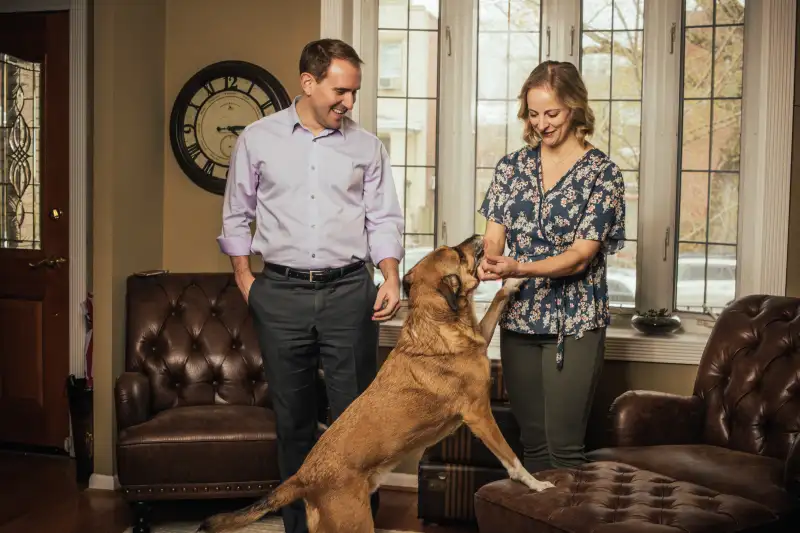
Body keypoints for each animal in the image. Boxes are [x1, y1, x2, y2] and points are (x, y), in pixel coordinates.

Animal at [197, 234, 552, 532]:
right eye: (457, 252)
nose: (479, 237)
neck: (436, 321)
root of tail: (303, 476)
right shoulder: (479, 414)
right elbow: (512, 460)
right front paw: (536, 485)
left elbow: (497, 301)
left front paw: (514, 278)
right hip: (354, 523)